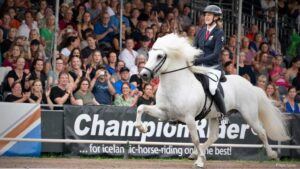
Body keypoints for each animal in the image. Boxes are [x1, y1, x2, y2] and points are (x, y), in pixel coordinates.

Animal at [135, 33, 290, 168]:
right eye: (149, 54)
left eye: (159, 56)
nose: (144, 75)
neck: (176, 85)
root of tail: (250, 85)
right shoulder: (164, 113)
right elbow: (141, 108)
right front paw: (142, 128)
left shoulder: (189, 118)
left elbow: (195, 139)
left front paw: (199, 162)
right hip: (215, 116)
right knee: (213, 136)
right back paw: (195, 153)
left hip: (249, 115)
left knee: (261, 132)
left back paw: (272, 154)